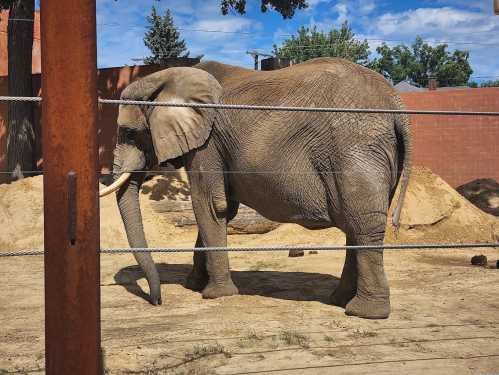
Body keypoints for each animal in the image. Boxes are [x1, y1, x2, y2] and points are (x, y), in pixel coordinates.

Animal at [99, 58, 412, 320]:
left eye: (129, 133)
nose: (157, 301)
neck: (167, 77)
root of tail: (396, 104)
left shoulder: (208, 143)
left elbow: (209, 205)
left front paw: (214, 294)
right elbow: (219, 208)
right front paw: (194, 285)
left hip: (356, 148)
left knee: (363, 224)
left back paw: (364, 312)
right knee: (355, 223)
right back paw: (339, 300)